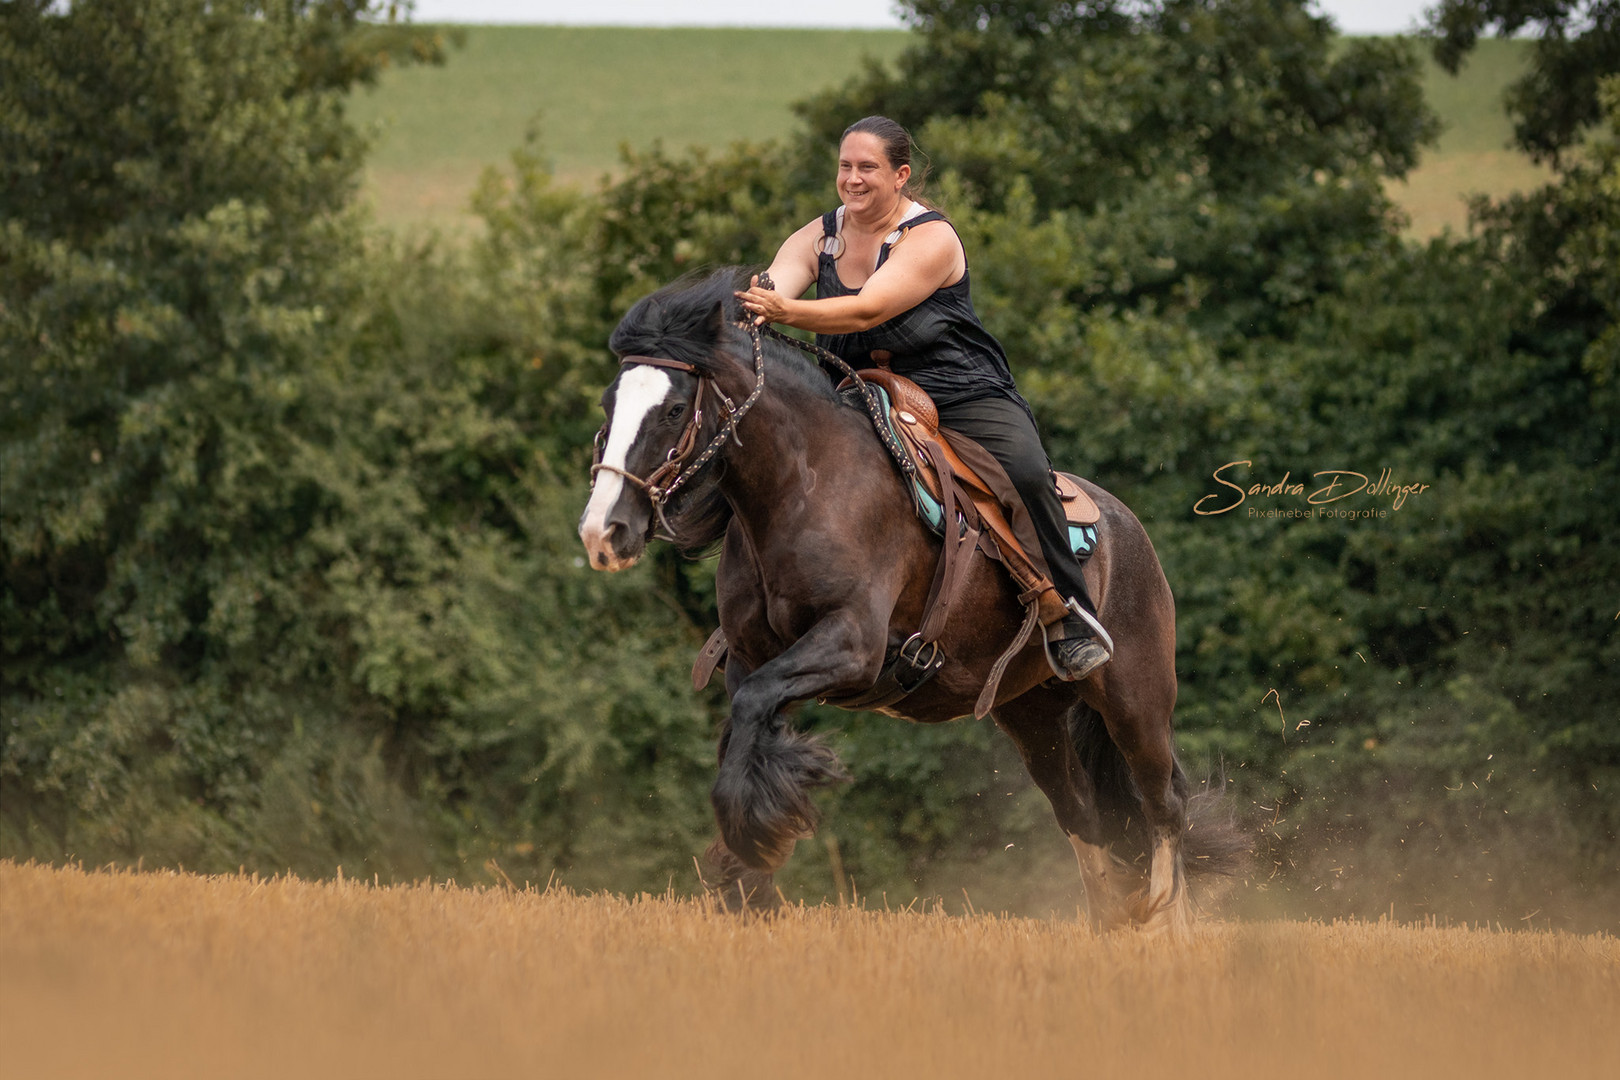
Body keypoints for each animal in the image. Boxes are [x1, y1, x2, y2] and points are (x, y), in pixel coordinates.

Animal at [583, 270, 1237, 939]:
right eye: (609, 405)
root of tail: (1129, 526)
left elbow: (753, 711)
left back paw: (1164, 919)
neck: (803, 485)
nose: (603, 531)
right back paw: (1113, 919)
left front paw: (750, 842)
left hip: (1135, 699)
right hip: (1032, 713)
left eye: (671, 409)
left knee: (1163, 802)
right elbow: (745, 725)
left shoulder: (853, 645)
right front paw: (749, 880)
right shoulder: (750, 657)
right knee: (1082, 813)